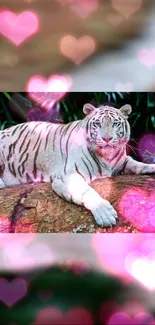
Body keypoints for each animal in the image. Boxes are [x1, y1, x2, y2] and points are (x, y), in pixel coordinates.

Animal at [0, 102, 155, 227]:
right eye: (98, 124)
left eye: (115, 124)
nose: (107, 139)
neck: (108, 158)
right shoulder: (68, 176)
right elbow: (86, 191)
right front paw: (105, 213)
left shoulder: (122, 161)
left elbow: (135, 163)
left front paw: (150, 167)